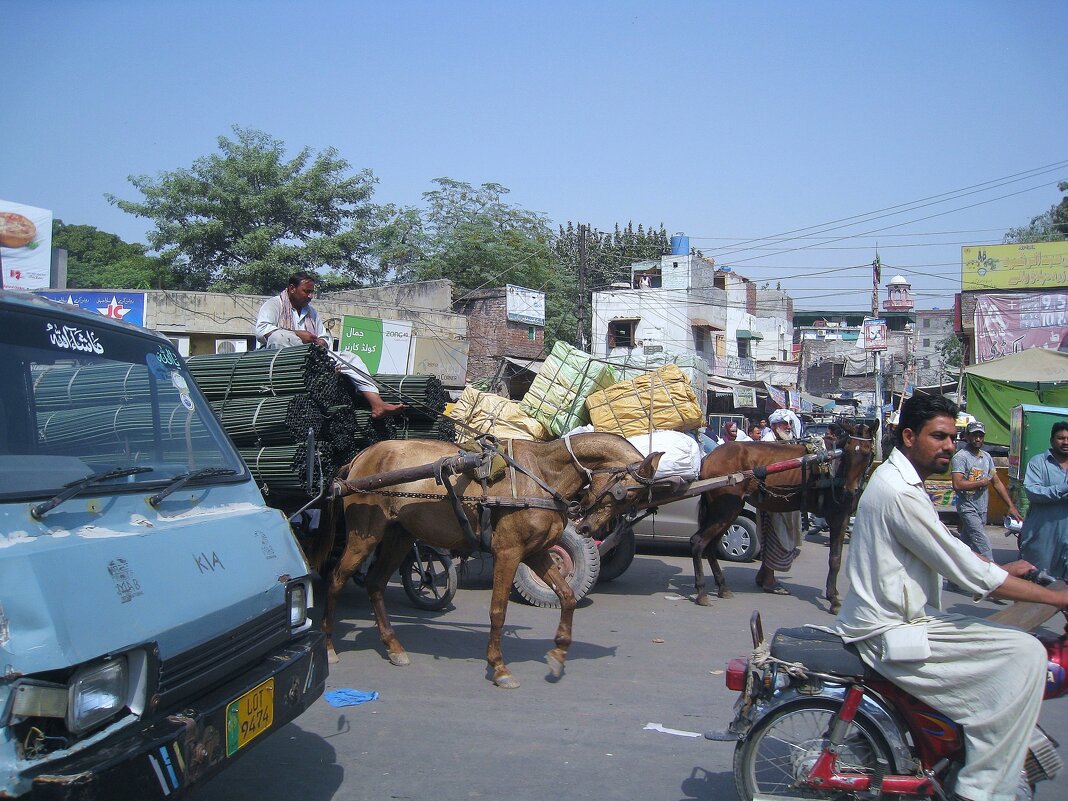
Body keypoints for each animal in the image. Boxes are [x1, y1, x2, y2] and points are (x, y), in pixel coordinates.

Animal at [305, 433, 657, 692]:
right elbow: (498, 611)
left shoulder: (535, 553)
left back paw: (393, 647)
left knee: (375, 583)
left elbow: (567, 597)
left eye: (640, 499)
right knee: (336, 580)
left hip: (398, 536)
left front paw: (558, 653)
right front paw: (499, 667)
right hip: (364, 536)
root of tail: (360, 459)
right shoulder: (509, 552)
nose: (587, 528)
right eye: (625, 493)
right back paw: (330, 646)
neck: (542, 473)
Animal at [687, 427, 871, 615]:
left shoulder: (843, 516)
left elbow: (837, 558)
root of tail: (708, 458)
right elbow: (835, 559)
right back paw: (701, 592)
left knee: (710, 546)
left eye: (867, 453)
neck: (835, 465)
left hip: (725, 513)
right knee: (698, 542)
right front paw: (833, 599)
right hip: (726, 510)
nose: (849, 490)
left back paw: (723, 587)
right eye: (848, 452)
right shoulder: (838, 516)